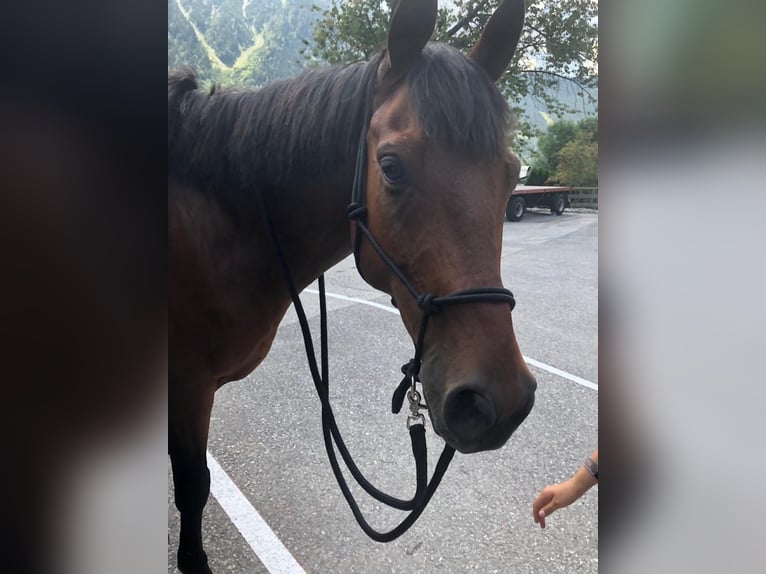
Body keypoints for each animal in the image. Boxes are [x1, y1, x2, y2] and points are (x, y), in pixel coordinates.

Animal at [168, 1, 540, 572]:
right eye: (390, 167)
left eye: (511, 171)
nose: (497, 400)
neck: (213, 224)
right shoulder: (185, 386)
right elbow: (192, 486)